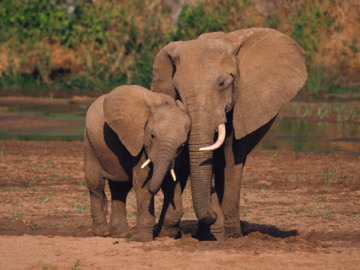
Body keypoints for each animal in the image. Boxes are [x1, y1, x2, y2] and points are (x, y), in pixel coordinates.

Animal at [84, 85, 191, 242]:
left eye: (182, 145)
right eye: (152, 136)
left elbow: (171, 181)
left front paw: (166, 235)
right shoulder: (138, 140)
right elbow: (142, 182)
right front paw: (142, 240)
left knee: (120, 188)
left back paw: (120, 235)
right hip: (90, 142)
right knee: (96, 184)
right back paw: (103, 233)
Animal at [151, 28, 306, 240]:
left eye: (222, 83)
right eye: (177, 90)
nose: (213, 215)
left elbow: (232, 158)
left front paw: (227, 235)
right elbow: (186, 159)